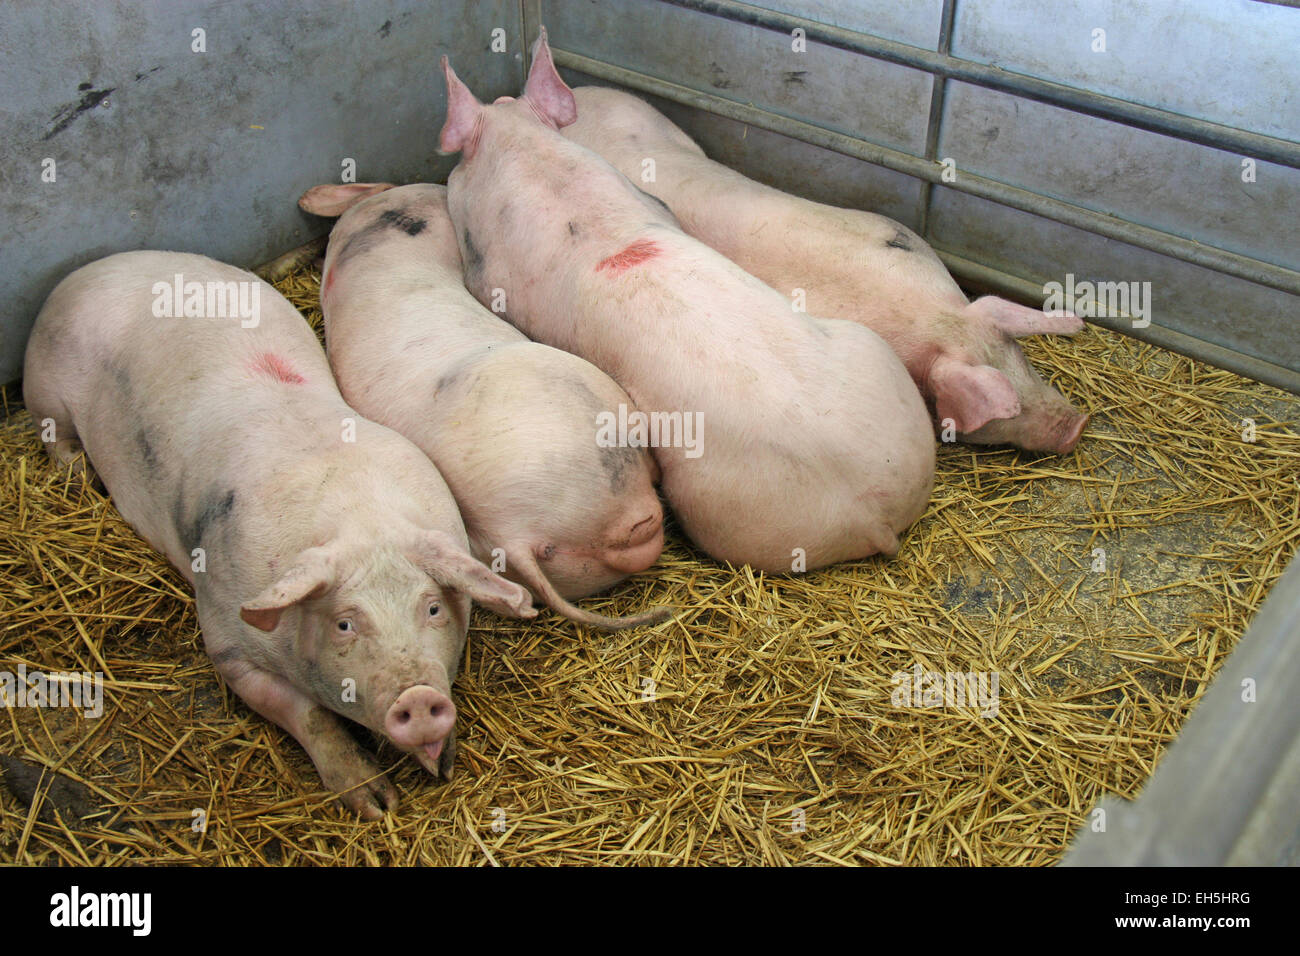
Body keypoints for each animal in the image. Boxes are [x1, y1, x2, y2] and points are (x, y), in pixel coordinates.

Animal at [21, 251, 538, 816]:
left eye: (432, 608)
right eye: (344, 624)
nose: (419, 699)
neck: (359, 518)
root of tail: (97, 266)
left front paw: (440, 766)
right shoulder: (226, 642)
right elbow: (307, 715)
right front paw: (377, 803)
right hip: (45, 391)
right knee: (56, 439)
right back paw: (78, 476)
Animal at [436, 31, 935, 574]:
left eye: (456, 173)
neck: (536, 162)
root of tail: (878, 508)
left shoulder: (497, 280)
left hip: (720, 512)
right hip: (871, 353)